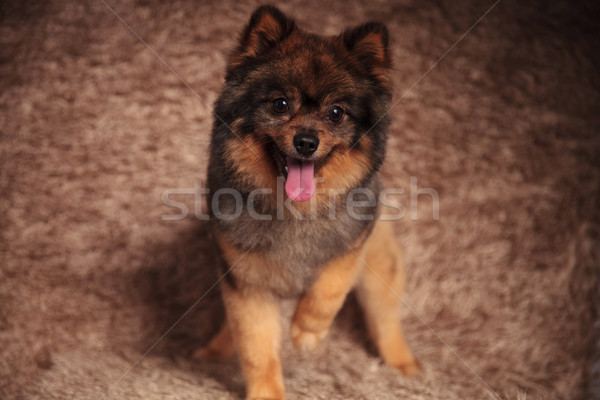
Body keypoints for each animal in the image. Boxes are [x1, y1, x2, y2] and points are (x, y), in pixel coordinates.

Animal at [195, 4, 420, 398]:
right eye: (280, 104)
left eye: (336, 113)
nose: (305, 141)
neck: (294, 211)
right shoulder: (247, 283)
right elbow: (255, 345)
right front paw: (265, 391)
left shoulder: (354, 244)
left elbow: (329, 288)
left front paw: (307, 332)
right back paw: (217, 350)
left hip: (381, 273)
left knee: (386, 322)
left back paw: (403, 365)